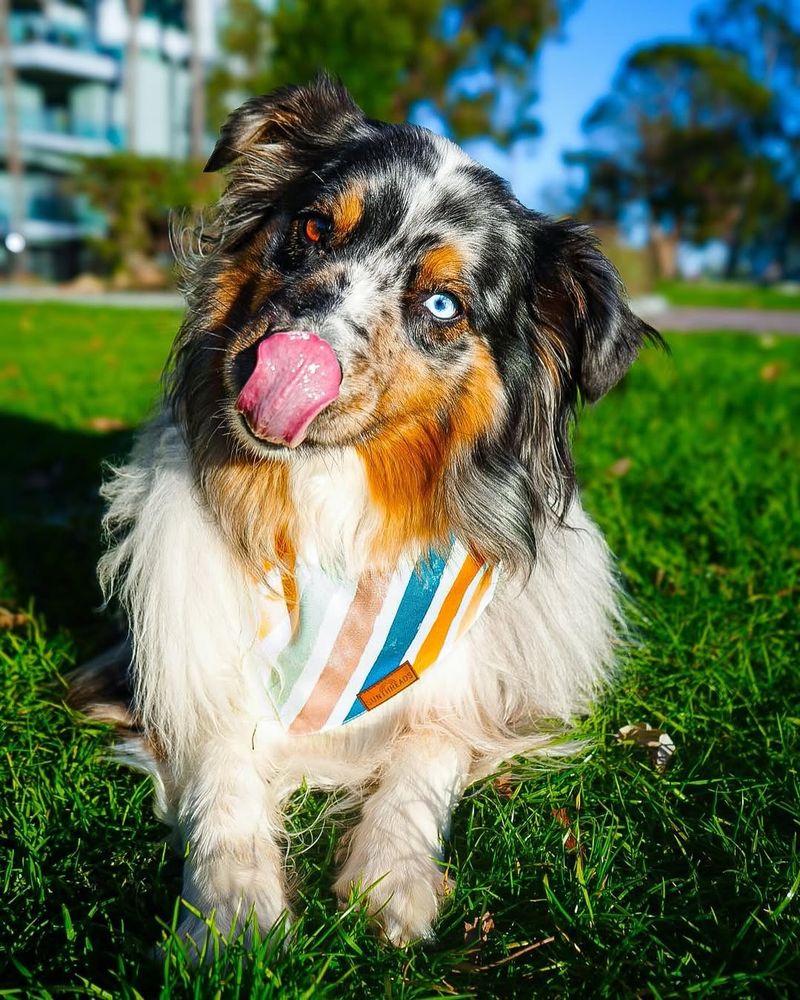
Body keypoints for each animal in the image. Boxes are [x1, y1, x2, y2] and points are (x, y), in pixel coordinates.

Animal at [72, 74, 664, 948]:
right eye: (314, 228)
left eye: (444, 305)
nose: (278, 362)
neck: (331, 507)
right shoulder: (178, 671)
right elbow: (222, 765)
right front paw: (231, 906)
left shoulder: (467, 688)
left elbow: (426, 752)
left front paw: (394, 877)